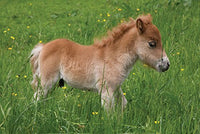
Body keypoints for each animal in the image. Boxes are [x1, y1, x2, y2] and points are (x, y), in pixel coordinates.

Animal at [30, 14, 170, 109]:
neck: (114, 57)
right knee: (37, 98)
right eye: (152, 44)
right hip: (47, 82)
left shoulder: (116, 87)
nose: (167, 64)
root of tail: (43, 47)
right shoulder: (106, 91)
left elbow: (123, 105)